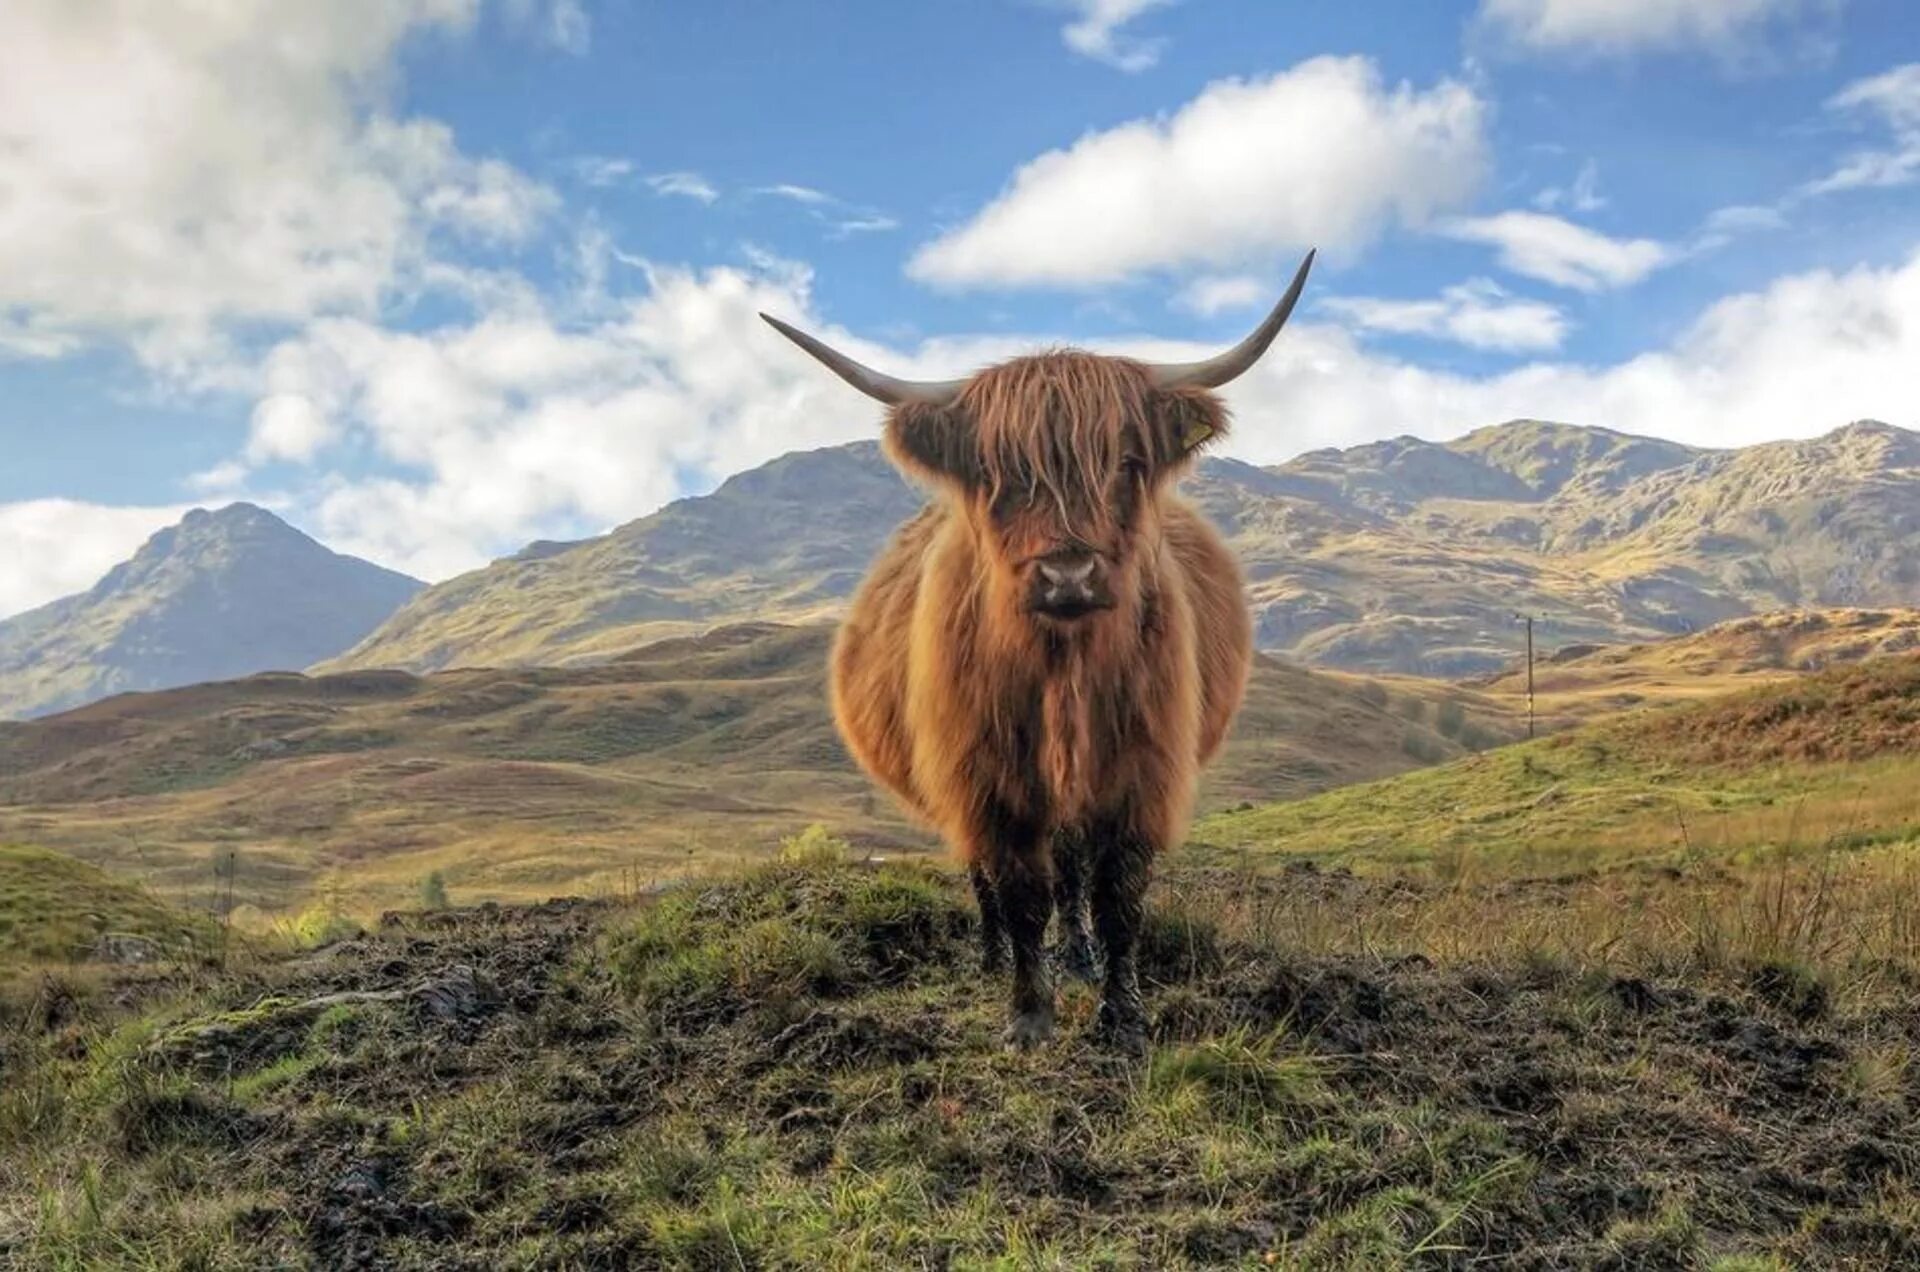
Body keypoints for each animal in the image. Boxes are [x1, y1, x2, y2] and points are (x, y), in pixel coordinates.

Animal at [764, 253, 1320, 1052]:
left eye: (1125, 462)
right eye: (998, 472)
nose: (1069, 575)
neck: (1065, 669)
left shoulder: (1140, 771)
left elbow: (1117, 894)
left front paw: (1123, 1017)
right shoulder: (984, 776)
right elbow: (1019, 890)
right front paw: (1028, 1015)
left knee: (1072, 871)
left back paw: (1079, 958)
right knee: (990, 878)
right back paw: (995, 958)